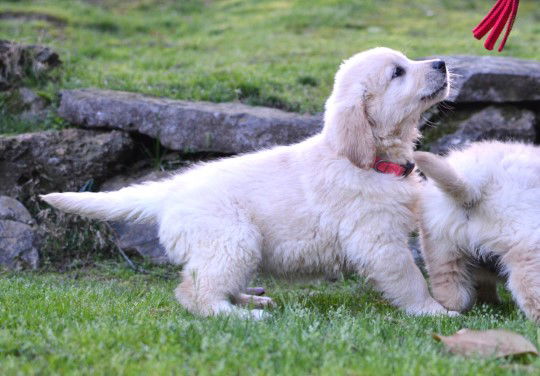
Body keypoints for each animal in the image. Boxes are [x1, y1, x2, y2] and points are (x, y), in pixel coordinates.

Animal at [43, 46, 456, 318]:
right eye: (397, 73)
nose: (442, 62)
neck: (369, 159)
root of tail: (170, 190)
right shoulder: (378, 239)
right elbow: (408, 277)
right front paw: (435, 311)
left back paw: (250, 299)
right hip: (231, 240)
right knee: (195, 293)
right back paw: (243, 316)